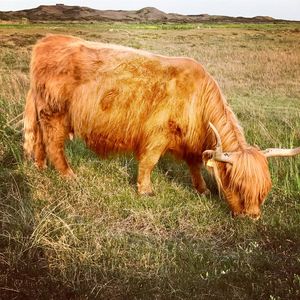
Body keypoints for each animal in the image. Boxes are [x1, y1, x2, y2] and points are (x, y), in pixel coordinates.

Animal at [24, 34, 300, 218]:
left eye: (263, 190)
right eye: (238, 185)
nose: (252, 216)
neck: (197, 99)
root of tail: (48, 40)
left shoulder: (191, 141)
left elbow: (195, 165)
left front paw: (202, 190)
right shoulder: (157, 134)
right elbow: (149, 162)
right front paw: (145, 190)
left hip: (43, 113)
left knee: (40, 141)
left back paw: (40, 167)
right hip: (54, 113)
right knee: (53, 143)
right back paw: (69, 176)